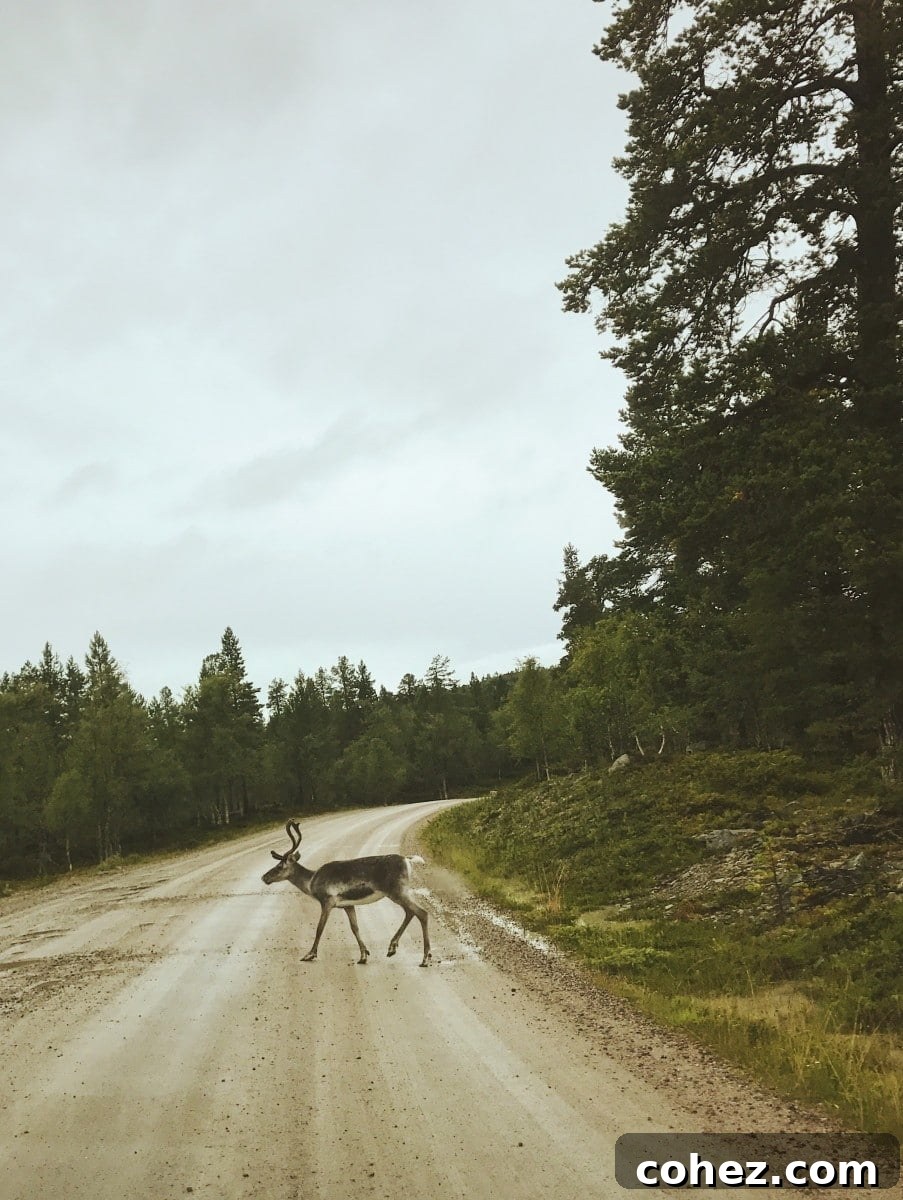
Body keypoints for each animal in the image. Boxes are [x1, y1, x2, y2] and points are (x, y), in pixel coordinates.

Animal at [262, 819, 432, 966]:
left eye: (279, 866)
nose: (264, 877)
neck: (311, 882)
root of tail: (407, 860)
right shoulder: (347, 905)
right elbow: (355, 928)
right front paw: (363, 956)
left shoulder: (327, 901)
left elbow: (319, 928)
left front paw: (309, 955)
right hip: (400, 891)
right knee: (411, 912)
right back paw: (392, 948)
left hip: (396, 891)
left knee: (421, 912)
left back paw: (425, 958)